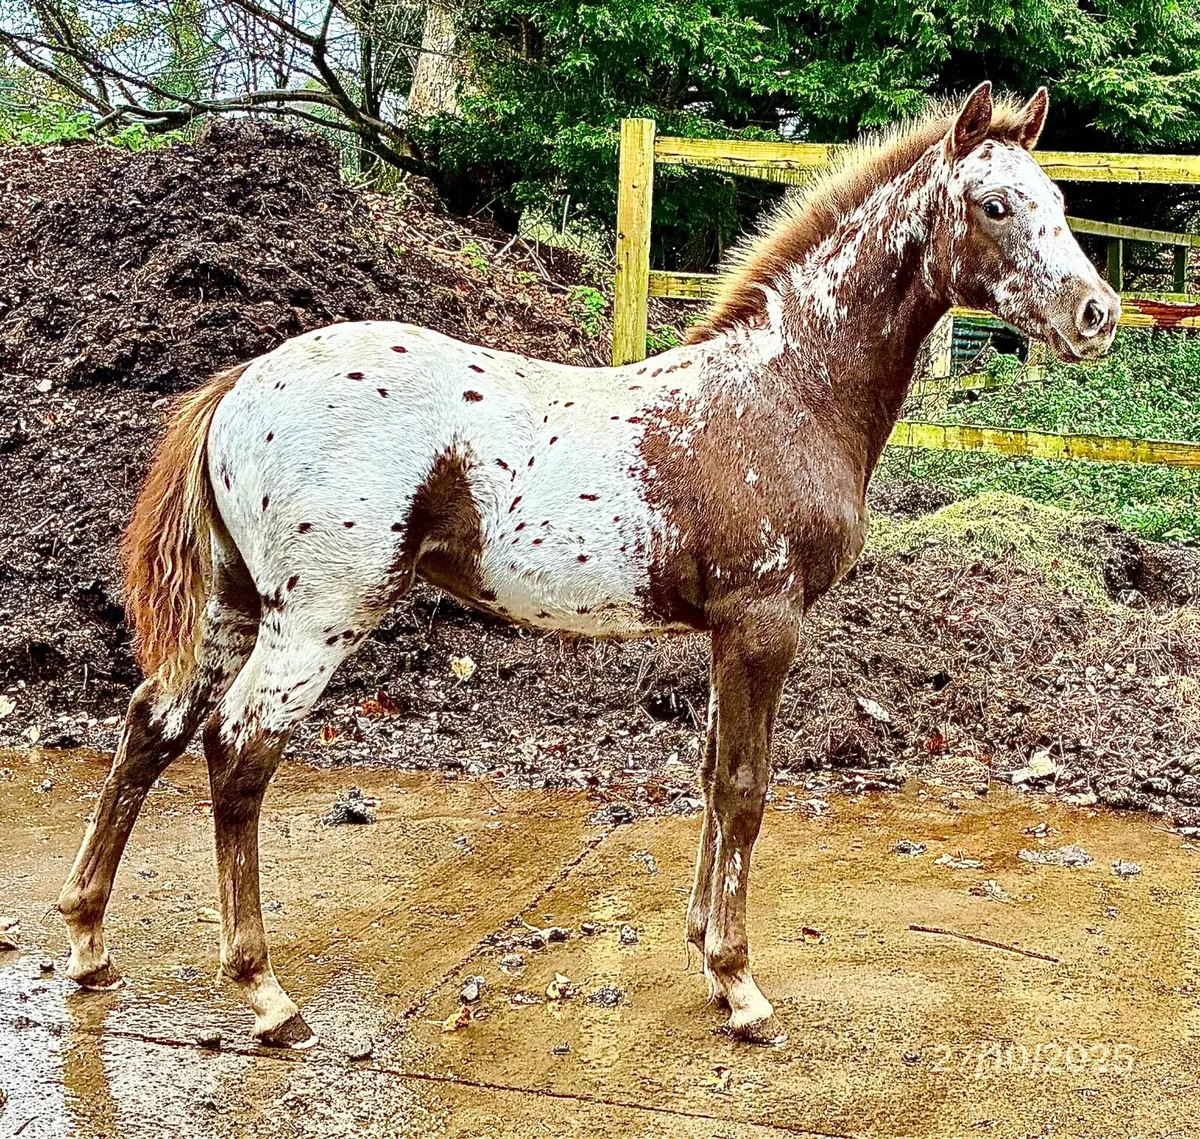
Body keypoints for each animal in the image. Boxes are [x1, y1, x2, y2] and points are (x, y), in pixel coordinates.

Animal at [57, 82, 1118, 1047]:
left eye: (1061, 197)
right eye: (996, 204)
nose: (1097, 313)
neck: (786, 389)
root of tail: (242, 381)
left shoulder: (724, 636)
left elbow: (710, 778)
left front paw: (703, 954)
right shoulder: (764, 624)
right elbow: (746, 788)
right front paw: (740, 986)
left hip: (234, 606)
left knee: (151, 726)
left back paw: (89, 944)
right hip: (318, 618)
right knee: (237, 750)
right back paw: (266, 994)